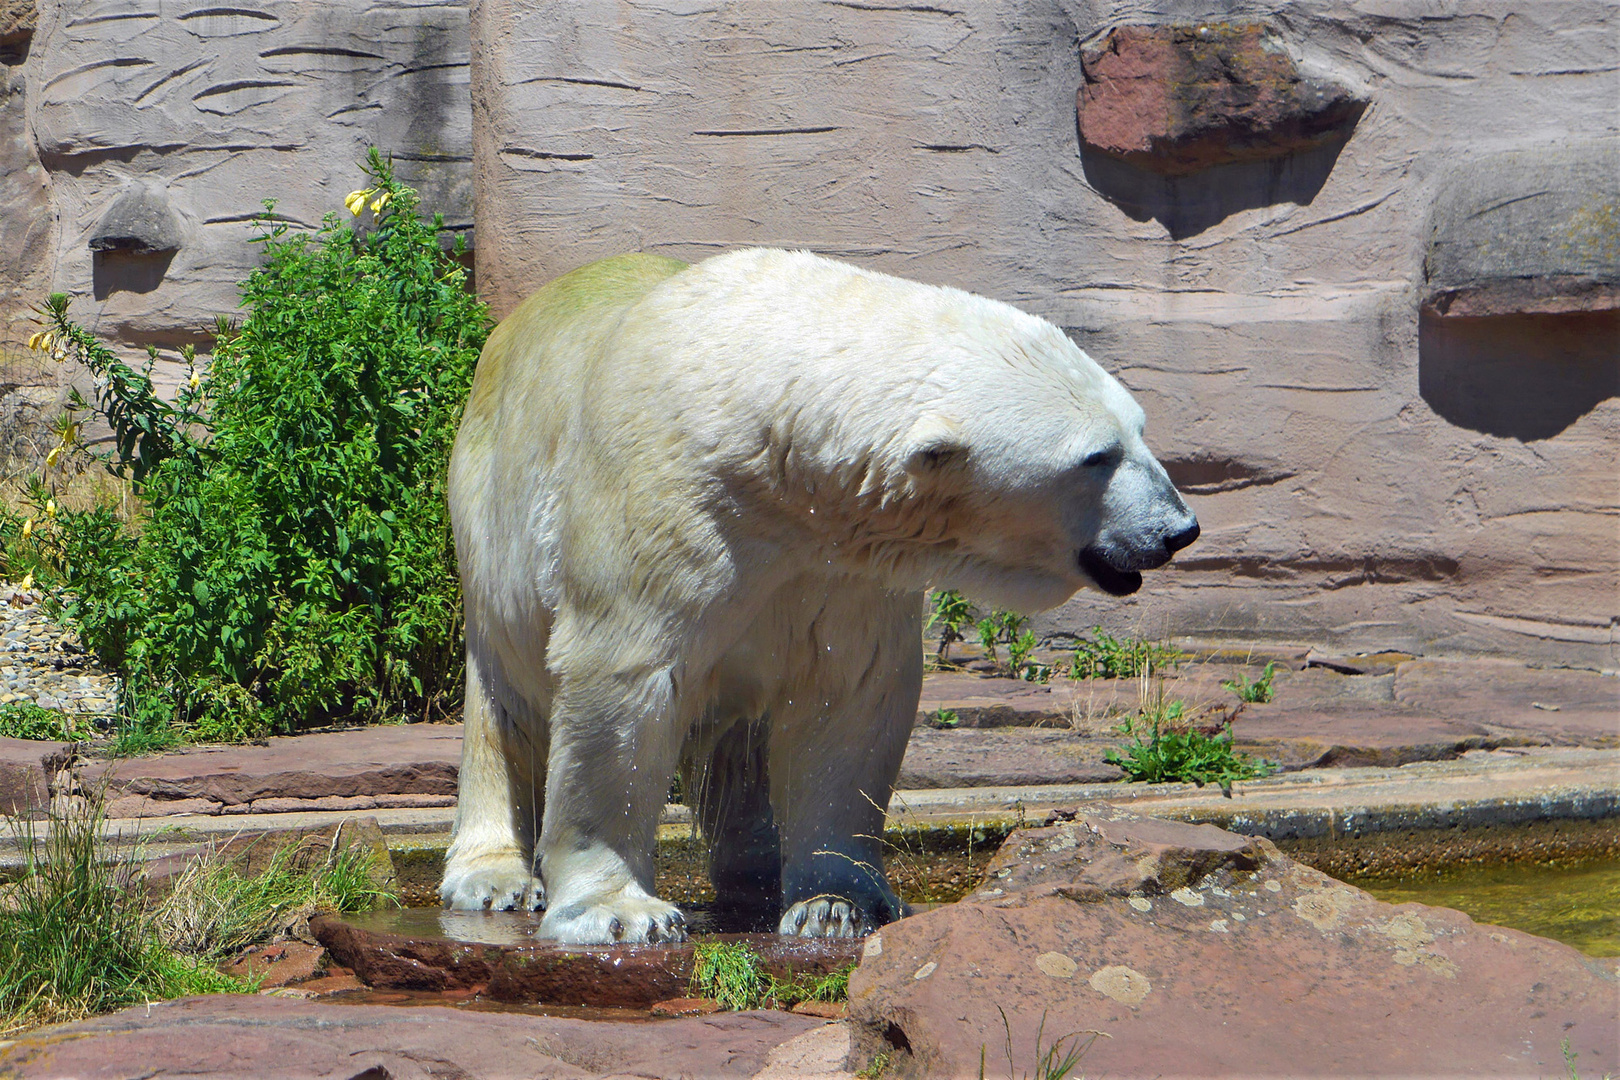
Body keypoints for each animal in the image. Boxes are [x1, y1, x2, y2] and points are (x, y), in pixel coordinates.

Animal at [437, 249, 1198, 939]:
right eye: (1095, 457)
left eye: (1139, 429)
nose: (1178, 528)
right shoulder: (660, 502)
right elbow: (623, 675)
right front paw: (622, 913)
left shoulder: (844, 564)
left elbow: (850, 698)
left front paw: (836, 906)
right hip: (492, 511)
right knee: (508, 693)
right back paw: (493, 877)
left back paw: (753, 866)